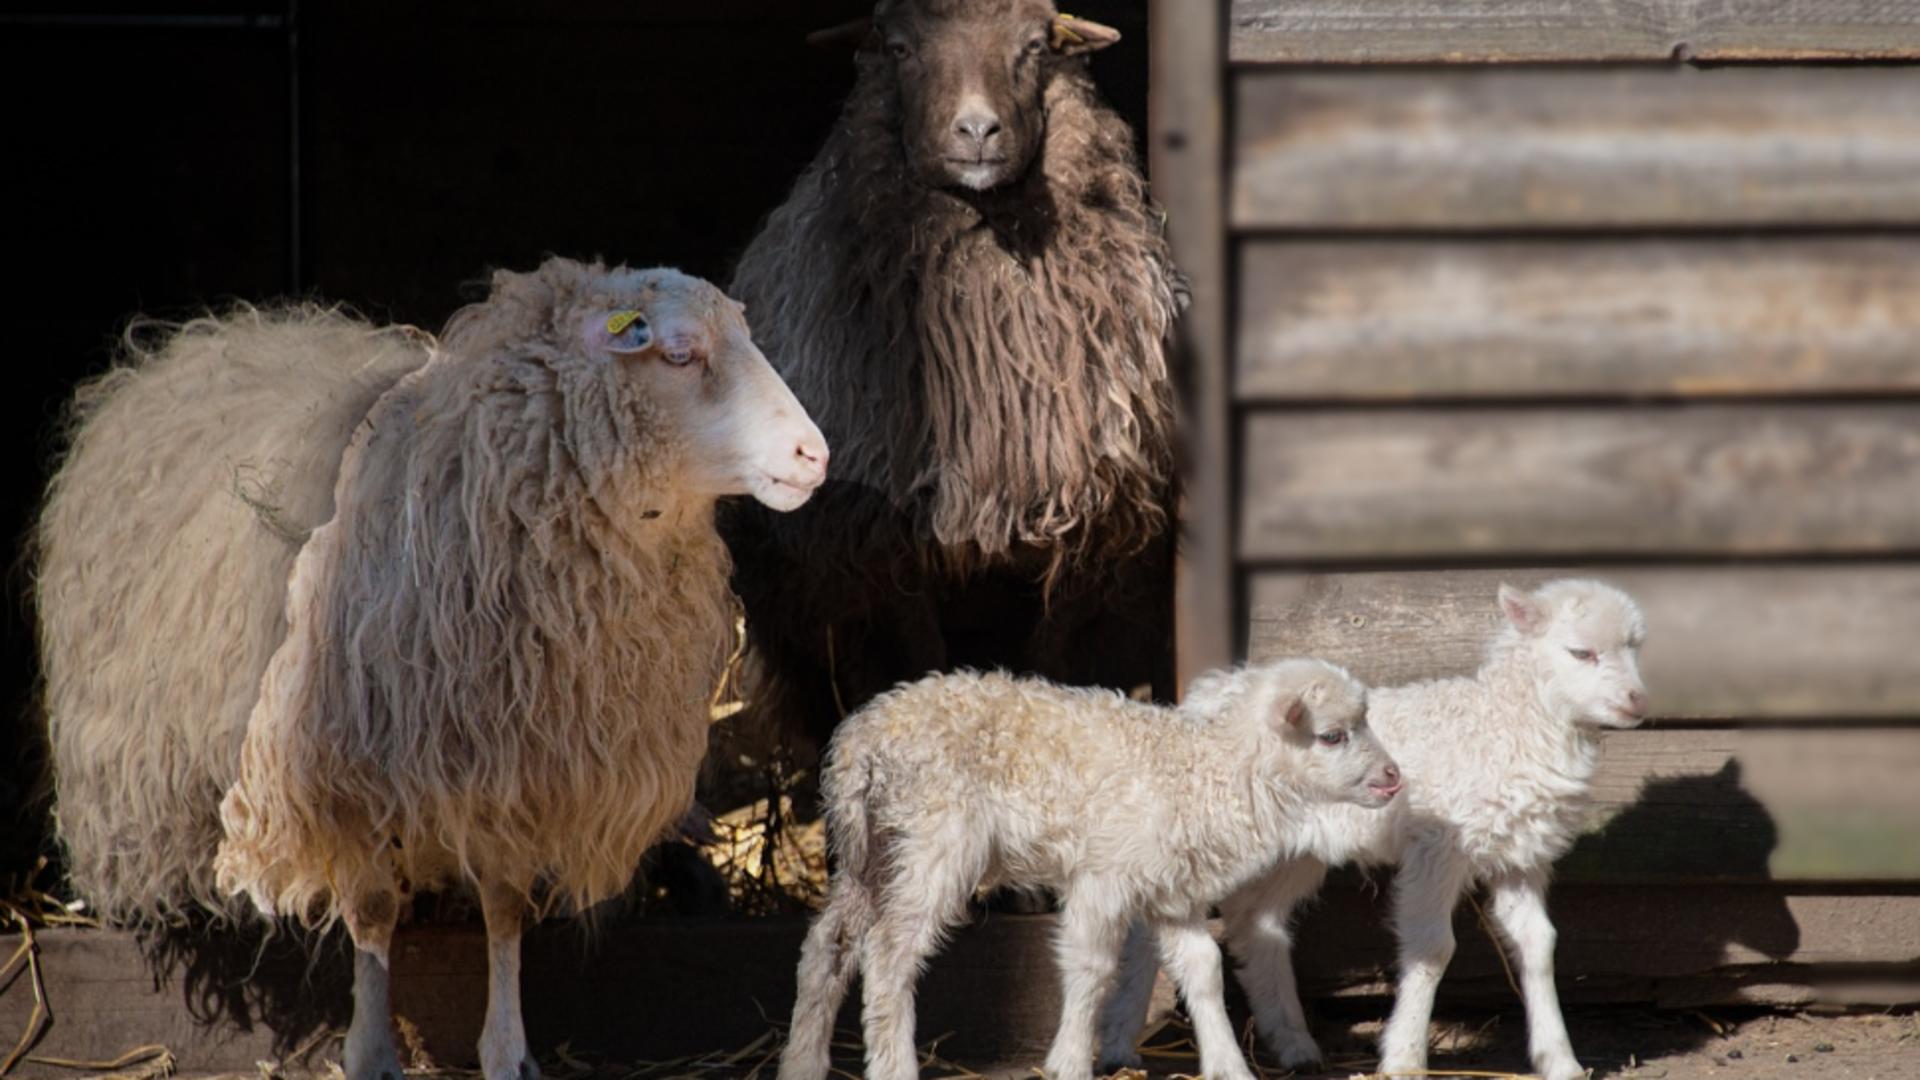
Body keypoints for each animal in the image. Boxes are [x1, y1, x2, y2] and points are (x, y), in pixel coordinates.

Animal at [729, 0, 1182, 737]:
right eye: (901, 47)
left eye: (1034, 46)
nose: (976, 129)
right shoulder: (879, 550)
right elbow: (911, 662)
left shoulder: (1087, 533)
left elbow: (1055, 662)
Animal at [771, 657, 1405, 1076]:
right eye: (1332, 736)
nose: (1394, 777)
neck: (1203, 771)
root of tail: (861, 738)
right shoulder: (1105, 876)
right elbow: (1093, 969)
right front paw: (1070, 1059)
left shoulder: (1170, 891)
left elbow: (1203, 970)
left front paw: (1229, 1065)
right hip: (934, 840)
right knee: (888, 953)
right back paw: (894, 1064)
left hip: (873, 849)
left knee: (827, 945)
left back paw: (802, 1062)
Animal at [1098, 576, 1651, 1076]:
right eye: (1580, 653)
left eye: (1634, 647)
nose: (1636, 701)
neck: (1505, 724)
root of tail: (1204, 694)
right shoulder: (1437, 847)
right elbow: (1433, 947)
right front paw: (1403, 1056)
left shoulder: (1519, 852)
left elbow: (1539, 944)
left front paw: (1559, 1059)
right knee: (1153, 930)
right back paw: (1120, 1042)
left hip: (1294, 853)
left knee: (1255, 923)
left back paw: (1294, 1044)